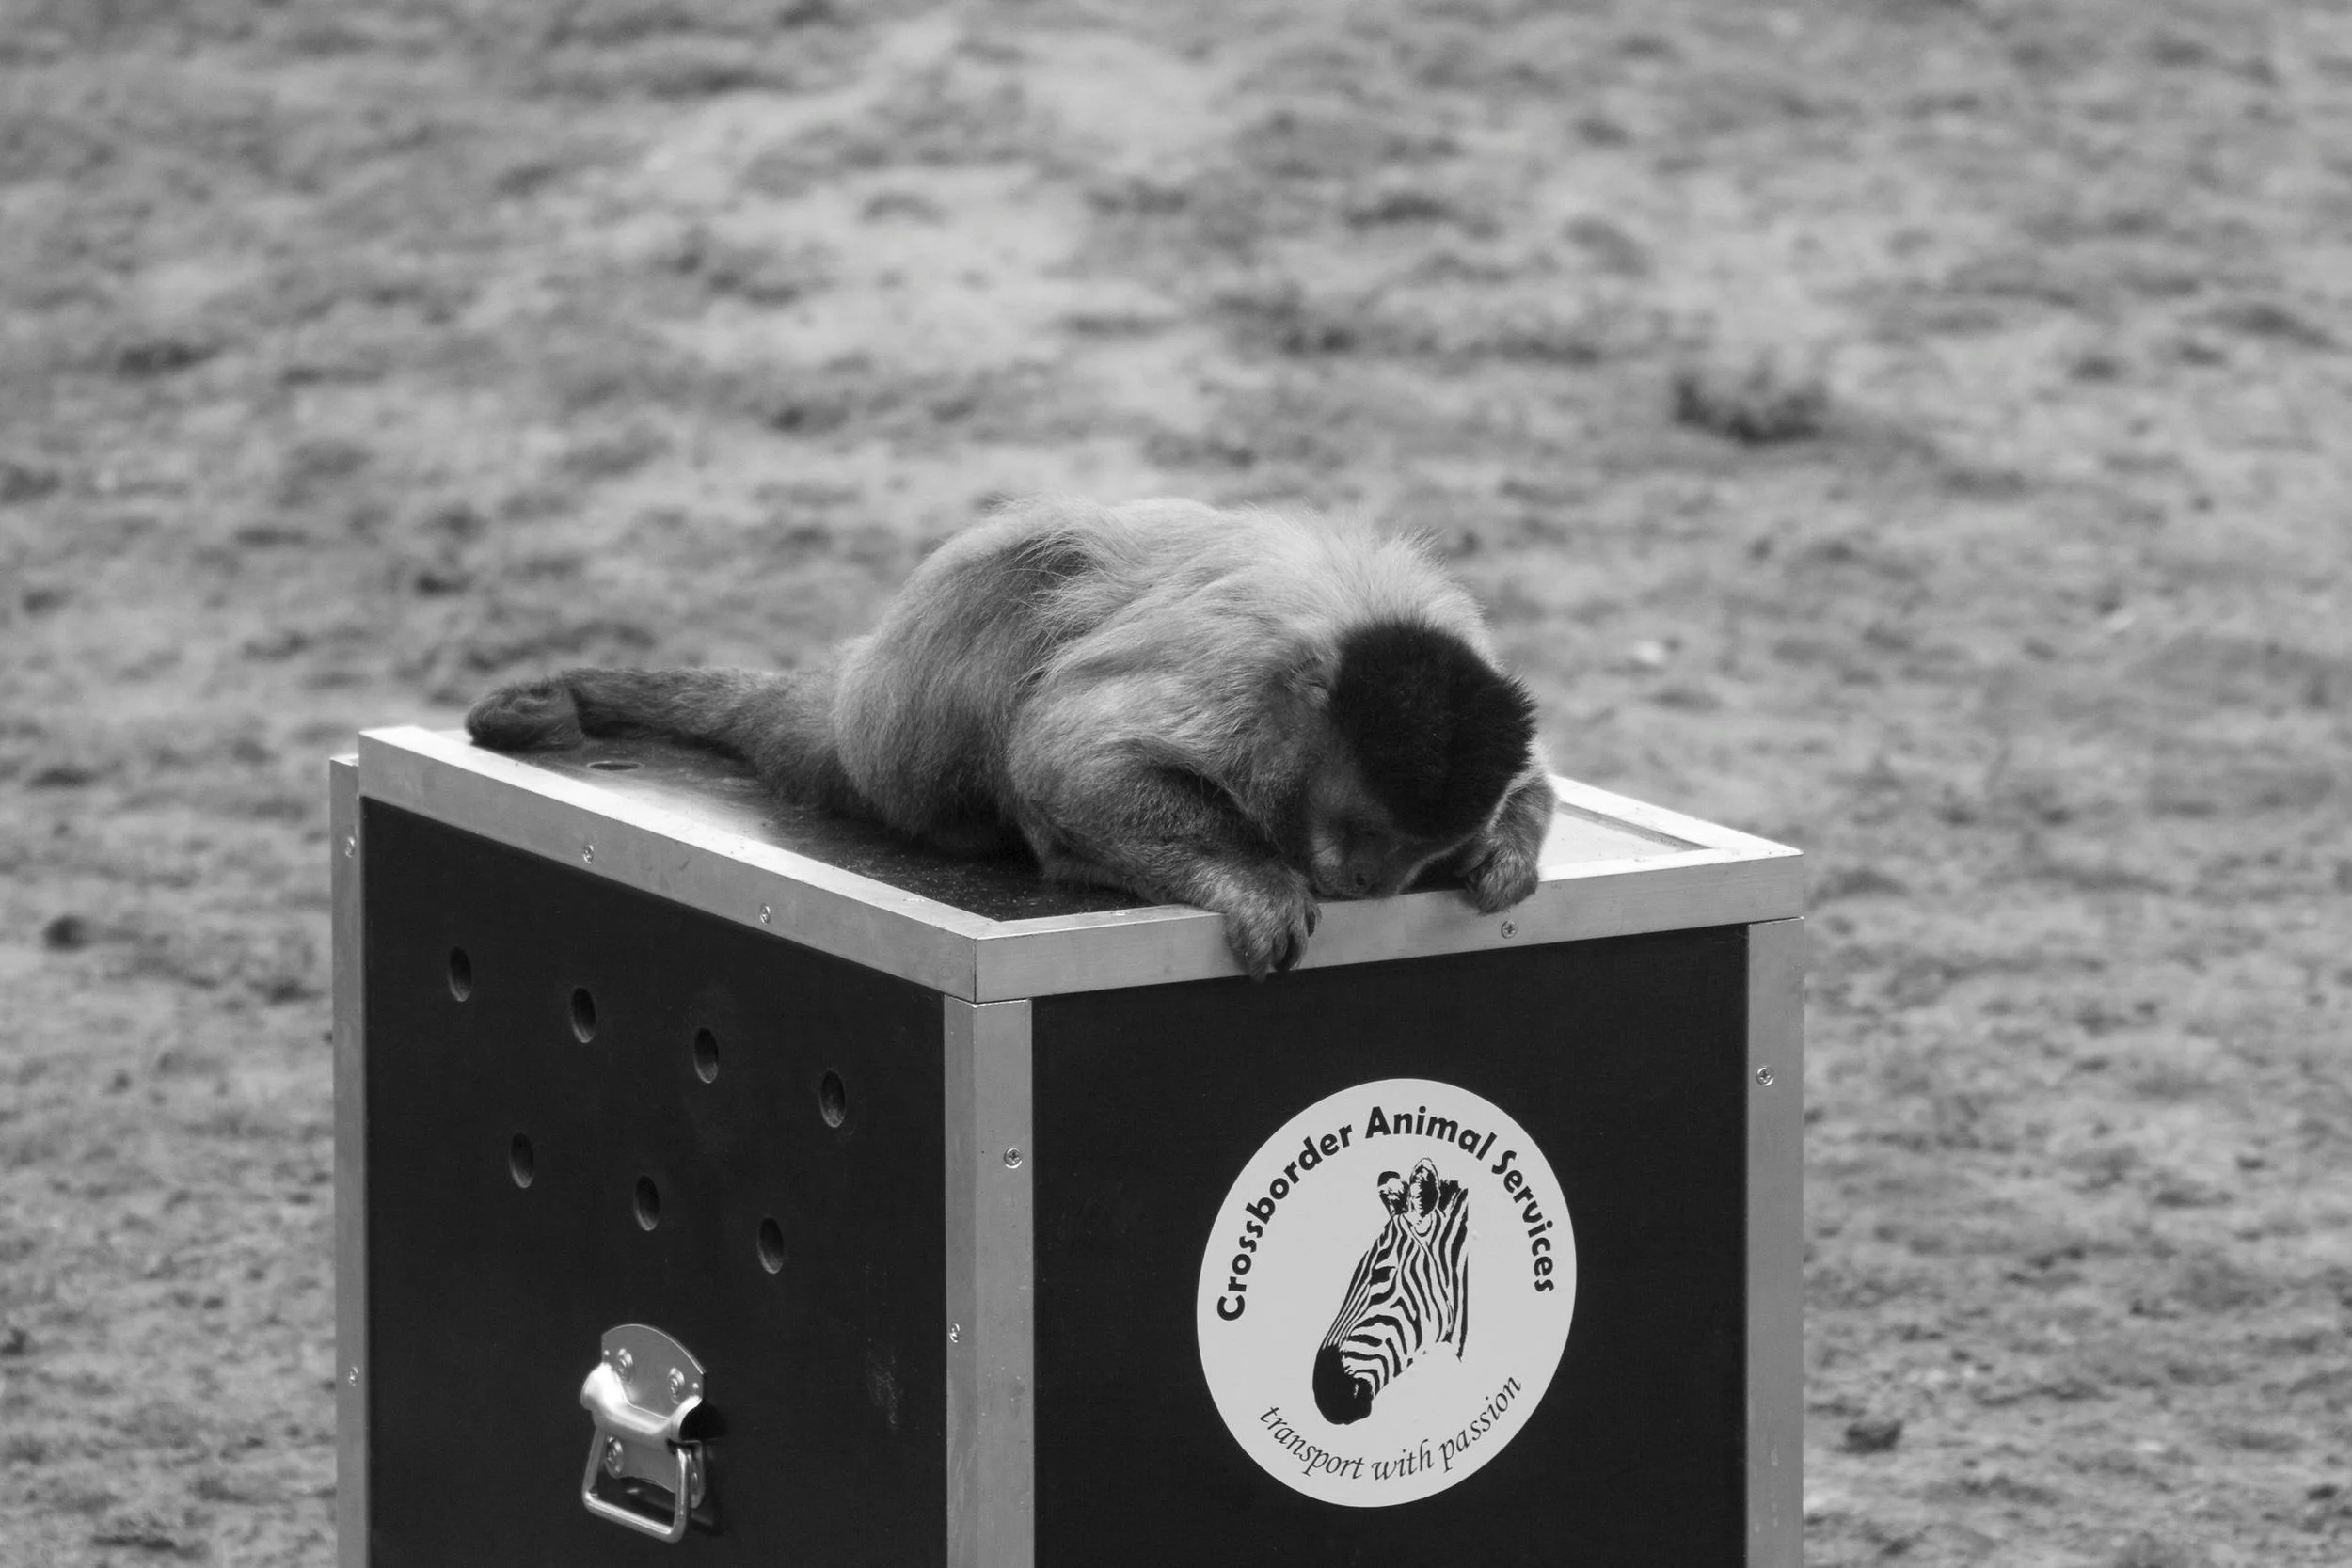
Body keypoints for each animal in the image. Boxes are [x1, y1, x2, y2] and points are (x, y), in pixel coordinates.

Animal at [466, 496, 1555, 978]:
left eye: (1415, 847)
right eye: (1368, 832)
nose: (1373, 878)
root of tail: (864, 688)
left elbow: (1534, 785)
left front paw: (1505, 853)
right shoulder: (1244, 683)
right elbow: (1067, 755)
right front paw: (1255, 881)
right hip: (902, 734)